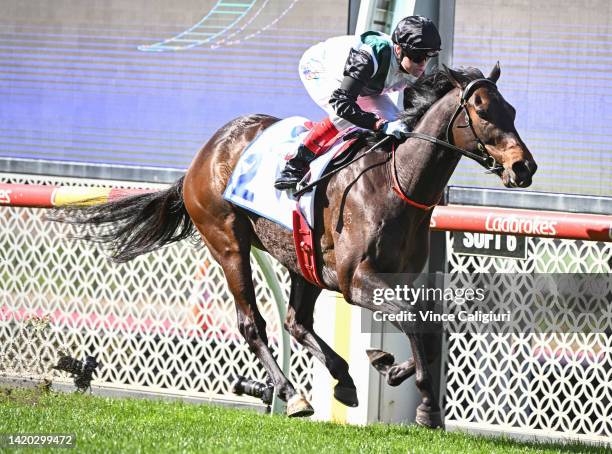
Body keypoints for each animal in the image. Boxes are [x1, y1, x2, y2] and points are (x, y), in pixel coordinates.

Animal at [55, 63, 536, 426]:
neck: (394, 181)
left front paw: (391, 365)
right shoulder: (355, 279)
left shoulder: (396, 276)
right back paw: (293, 395)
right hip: (228, 242)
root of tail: (205, 153)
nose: (523, 167)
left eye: (512, 109)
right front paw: (426, 407)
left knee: (296, 321)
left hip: (303, 259)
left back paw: (343, 380)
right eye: (482, 111)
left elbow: (428, 324)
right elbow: (415, 319)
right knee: (253, 323)